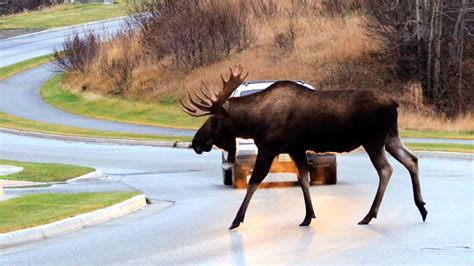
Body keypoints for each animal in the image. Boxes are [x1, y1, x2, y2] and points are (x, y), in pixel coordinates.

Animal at [180, 66, 428, 229]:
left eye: (213, 120)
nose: (196, 142)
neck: (253, 123)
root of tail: (394, 103)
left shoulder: (269, 148)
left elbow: (254, 182)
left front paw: (236, 220)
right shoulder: (296, 148)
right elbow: (303, 179)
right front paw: (308, 216)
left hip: (373, 140)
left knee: (386, 169)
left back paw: (369, 215)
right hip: (390, 136)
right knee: (411, 159)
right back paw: (422, 207)